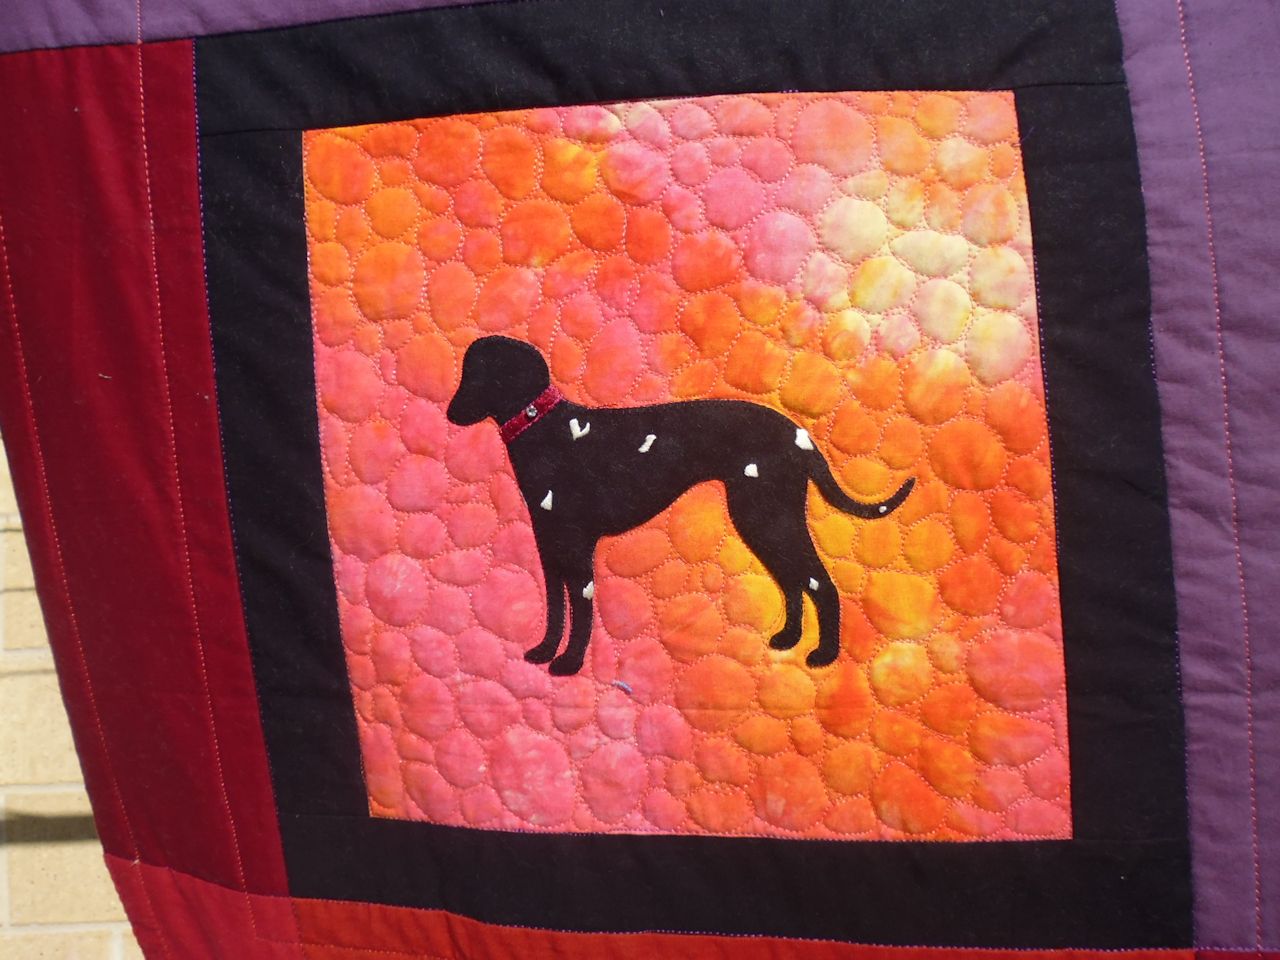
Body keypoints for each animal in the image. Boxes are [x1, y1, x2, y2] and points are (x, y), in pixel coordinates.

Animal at [446, 336, 914, 675]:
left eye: (480, 373)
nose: (450, 414)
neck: (548, 431)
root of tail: (799, 433)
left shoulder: (577, 549)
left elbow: (581, 610)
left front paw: (570, 663)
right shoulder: (549, 547)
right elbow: (556, 607)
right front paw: (545, 651)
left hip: (770, 518)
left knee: (819, 582)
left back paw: (825, 655)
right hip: (761, 521)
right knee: (793, 582)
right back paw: (788, 640)